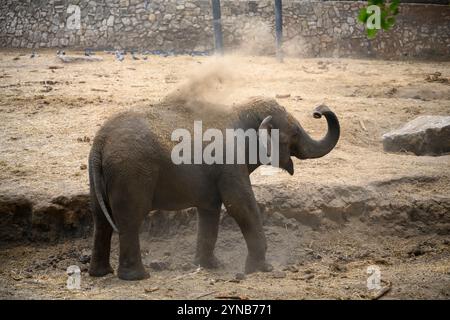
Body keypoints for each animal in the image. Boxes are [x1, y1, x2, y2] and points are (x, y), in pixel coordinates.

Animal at [89, 97, 342, 280]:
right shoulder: (230, 162)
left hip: (100, 179)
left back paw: (101, 273)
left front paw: (210, 266)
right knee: (130, 219)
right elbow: (240, 205)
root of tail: (100, 142)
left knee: (101, 220)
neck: (240, 110)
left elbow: (210, 209)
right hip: (132, 174)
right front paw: (262, 269)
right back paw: (137, 277)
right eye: (296, 132)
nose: (318, 110)